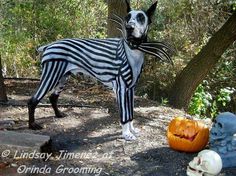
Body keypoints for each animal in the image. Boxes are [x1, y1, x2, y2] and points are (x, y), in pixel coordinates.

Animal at [28, 0, 171, 140]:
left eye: (141, 17)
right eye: (127, 17)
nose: (129, 27)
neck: (133, 49)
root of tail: (49, 45)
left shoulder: (130, 89)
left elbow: (130, 113)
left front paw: (132, 130)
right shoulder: (121, 89)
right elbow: (125, 115)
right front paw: (126, 134)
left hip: (62, 78)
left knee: (53, 97)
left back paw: (58, 114)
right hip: (51, 76)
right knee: (33, 100)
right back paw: (32, 125)